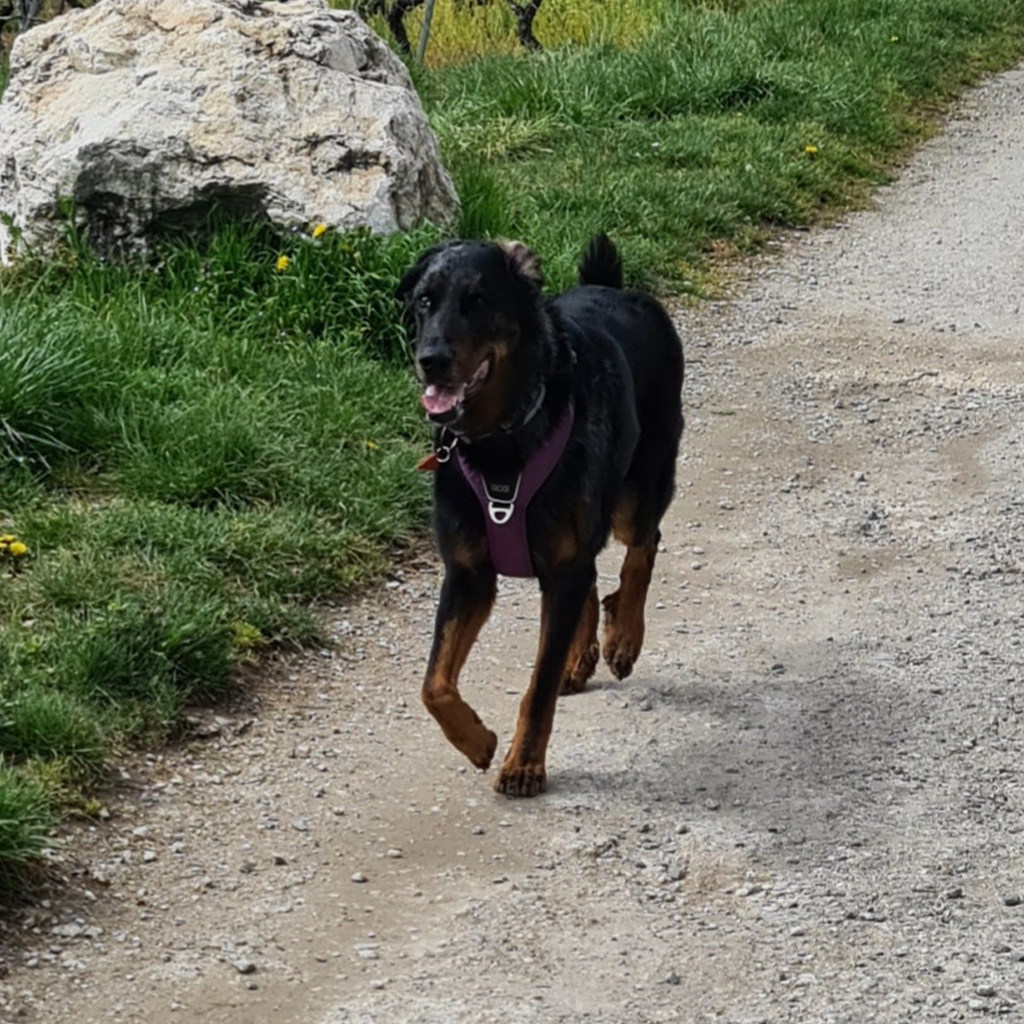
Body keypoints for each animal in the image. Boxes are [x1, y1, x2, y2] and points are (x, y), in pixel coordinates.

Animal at [395, 235, 684, 794]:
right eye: (424, 301)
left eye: (478, 300)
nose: (430, 359)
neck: (500, 444)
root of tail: (615, 287)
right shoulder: (469, 574)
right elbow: (434, 684)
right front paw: (478, 741)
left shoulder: (559, 564)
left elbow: (538, 684)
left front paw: (524, 763)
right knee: (593, 577)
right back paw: (582, 655)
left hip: (639, 488)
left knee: (642, 546)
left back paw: (623, 638)